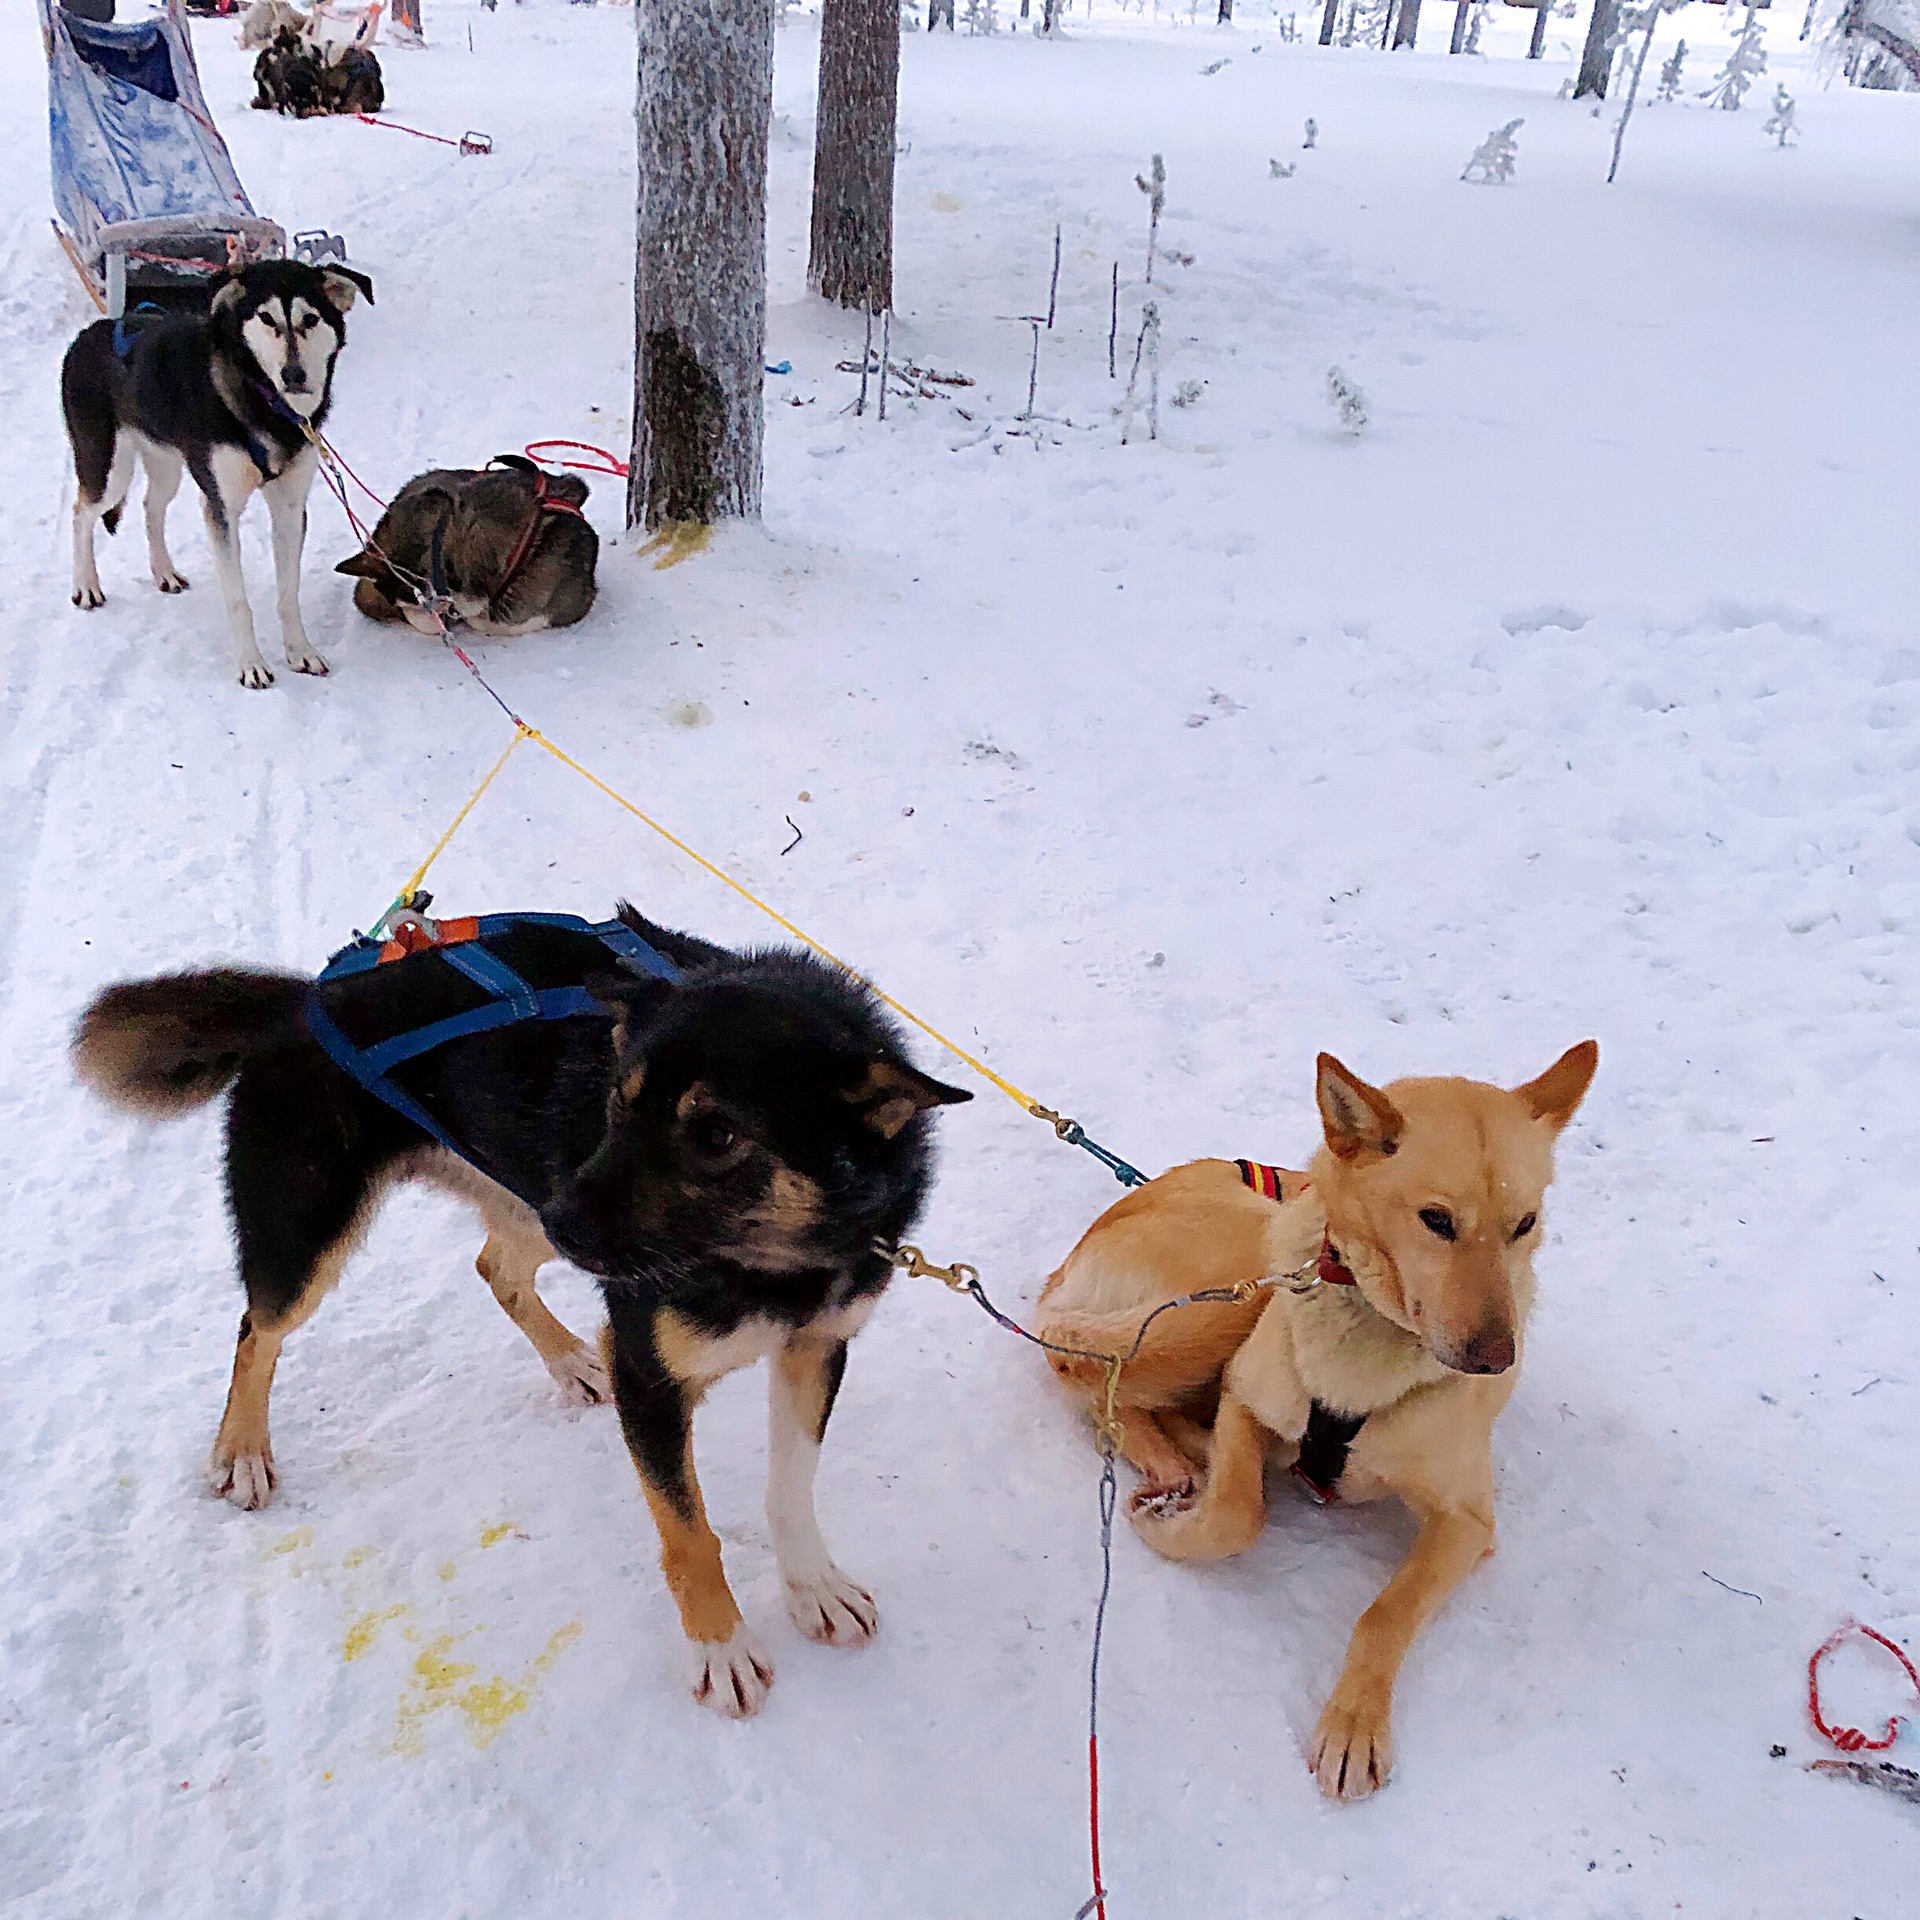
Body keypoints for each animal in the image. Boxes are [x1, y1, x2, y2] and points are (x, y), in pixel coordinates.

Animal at [74, 906, 975, 1720]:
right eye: (618, 1099)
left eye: (717, 1134)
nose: (569, 1219)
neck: (772, 1264)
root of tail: (304, 999)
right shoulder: (651, 1378)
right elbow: (690, 1536)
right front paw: (720, 1647)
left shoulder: (815, 1346)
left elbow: (790, 1488)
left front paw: (812, 1587)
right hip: (320, 1234)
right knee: (258, 1328)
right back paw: (243, 1451)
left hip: (521, 1196)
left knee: (496, 1268)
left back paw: (571, 1358)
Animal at [1044, 1044, 1597, 1789]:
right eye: (1437, 1220)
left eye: (1524, 1224)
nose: (1494, 1359)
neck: (1367, 1361)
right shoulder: (1247, 1397)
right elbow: (1236, 1515)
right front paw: (1177, 1526)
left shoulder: (1468, 1522)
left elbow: (1385, 1614)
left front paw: (1355, 1722)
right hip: (1243, 1271)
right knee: (1101, 1377)